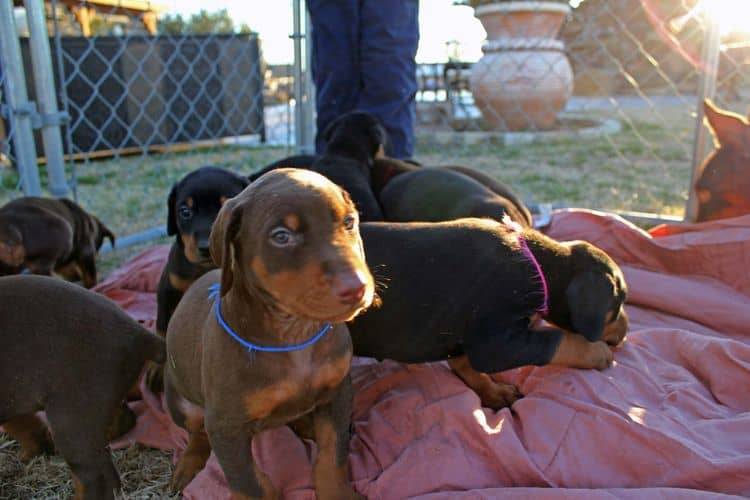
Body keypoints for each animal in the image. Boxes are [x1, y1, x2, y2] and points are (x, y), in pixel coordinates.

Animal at [352, 219, 628, 410]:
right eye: (620, 302)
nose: (626, 332)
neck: (538, 265)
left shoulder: (467, 336)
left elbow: (465, 364)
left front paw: (495, 393)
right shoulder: (495, 343)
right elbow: (558, 341)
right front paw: (597, 352)